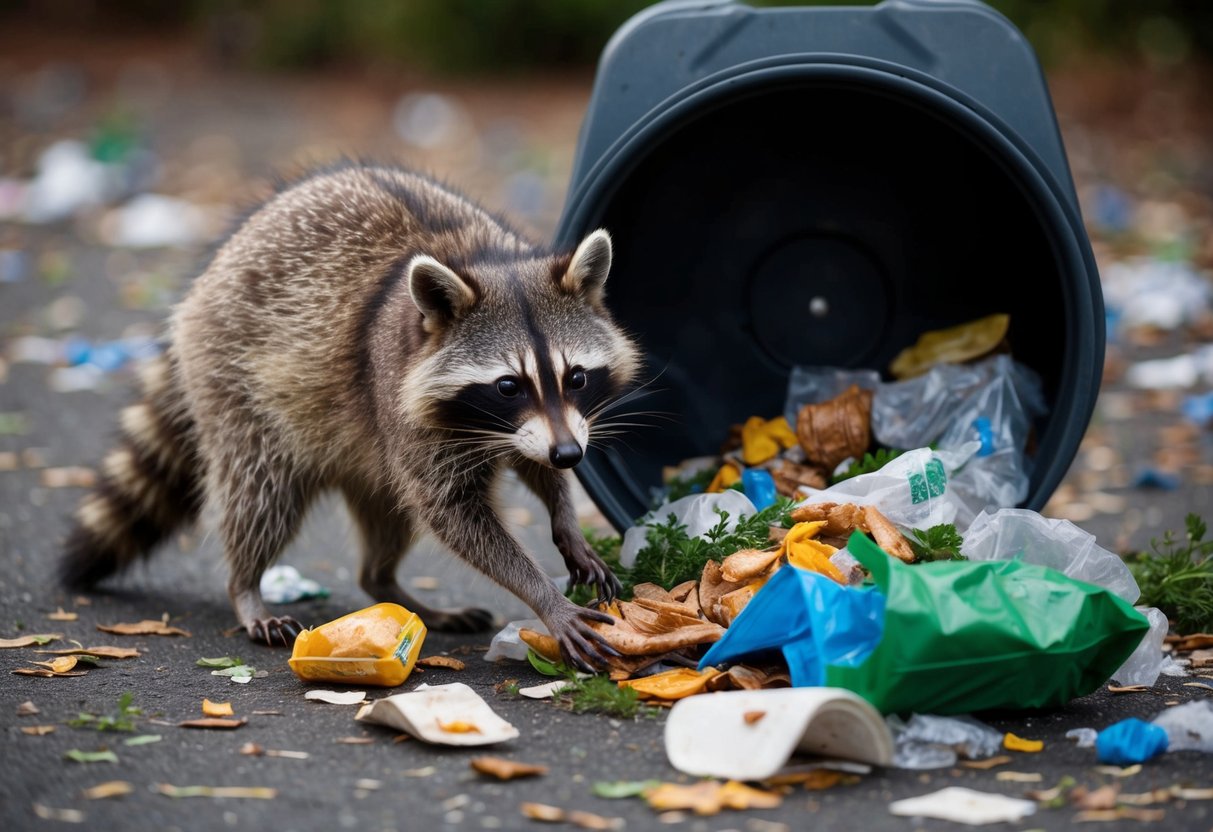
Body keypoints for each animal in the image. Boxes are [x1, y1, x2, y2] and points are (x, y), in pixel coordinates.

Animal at [60, 162, 642, 670]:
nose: (569, 455)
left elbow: (532, 461)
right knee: (261, 495)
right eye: (507, 386)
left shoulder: (536, 426)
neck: (482, 259)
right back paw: (245, 585)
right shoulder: (398, 395)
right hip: (234, 382)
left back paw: (386, 584)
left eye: (576, 378)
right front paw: (544, 596)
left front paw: (566, 521)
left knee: (386, 518)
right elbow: (451, 514)